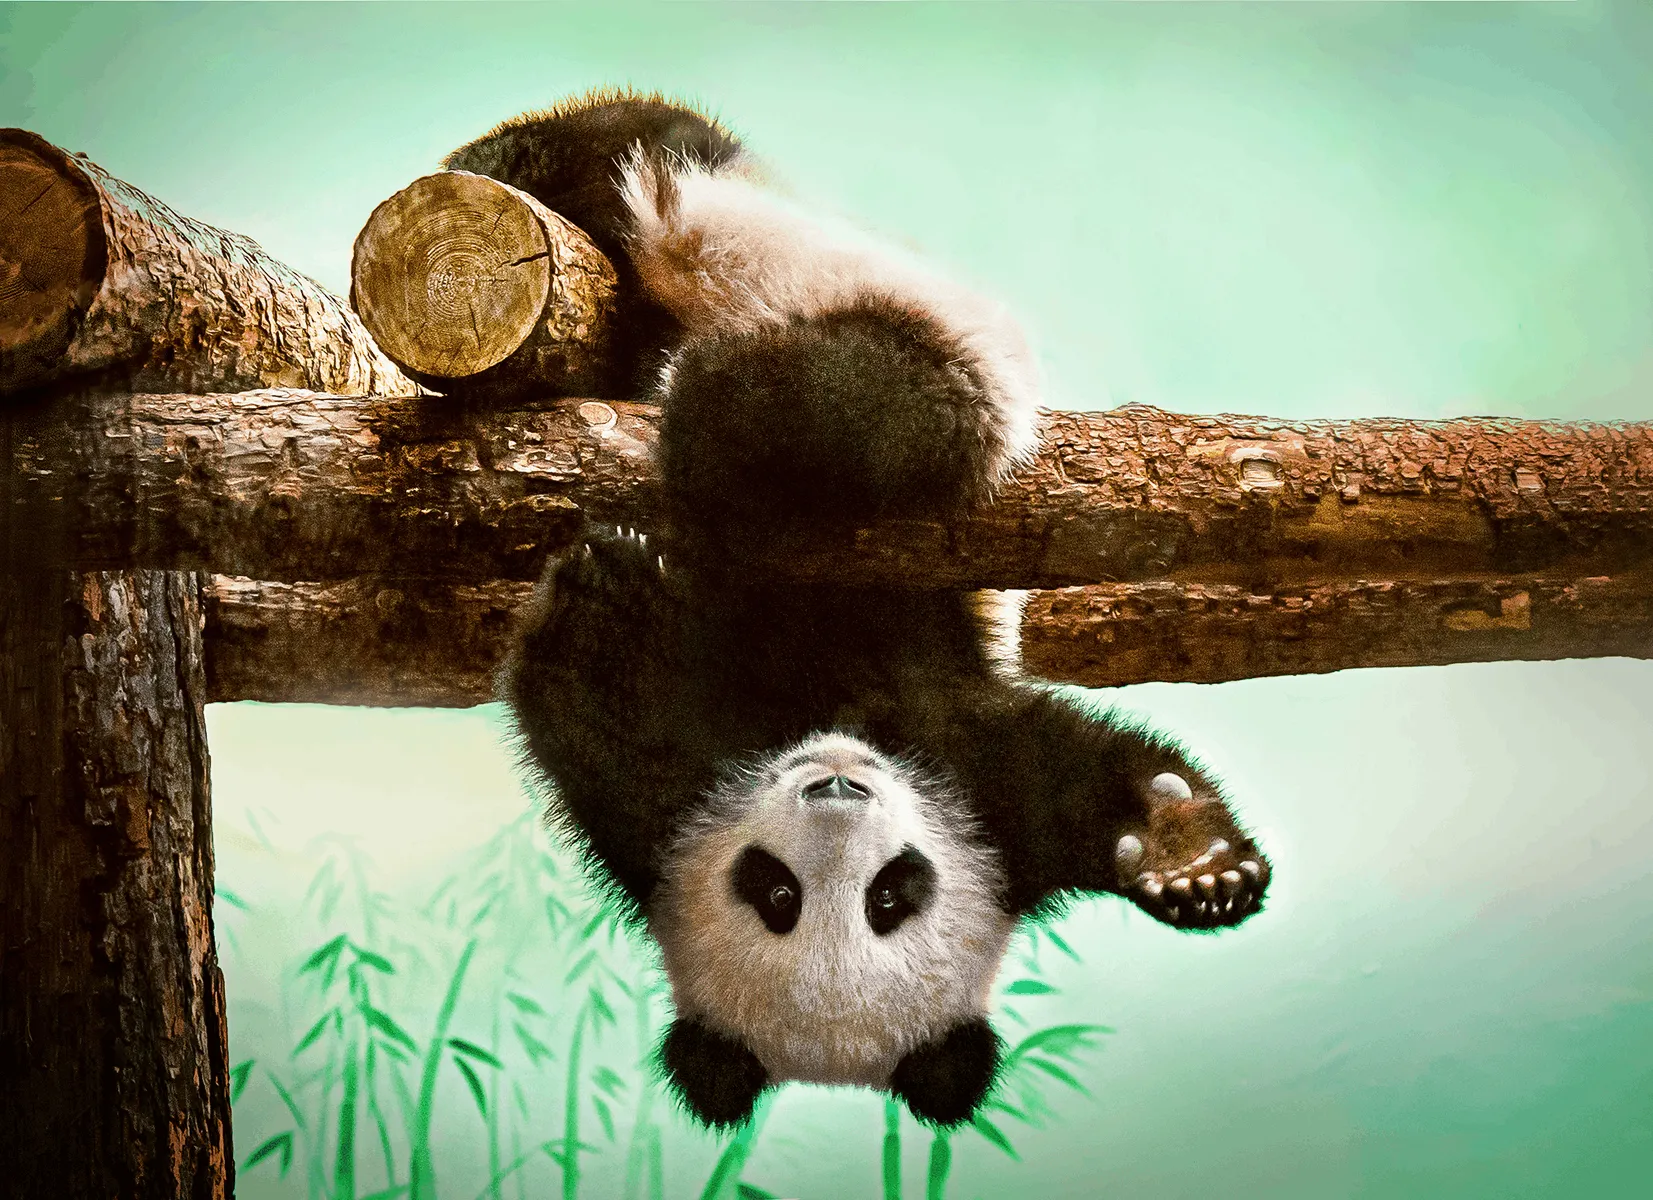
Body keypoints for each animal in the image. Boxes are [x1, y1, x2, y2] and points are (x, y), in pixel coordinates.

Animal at [468, 91, 1272, 1130]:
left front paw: (1188, 858)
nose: (839, 788)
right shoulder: (659, 812)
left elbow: (1067, 763)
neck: (824, 713)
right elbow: (589, 707)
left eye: (893, 896)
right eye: (774, 892)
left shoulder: (965, 764)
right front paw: (610, 586)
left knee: (861, 388)